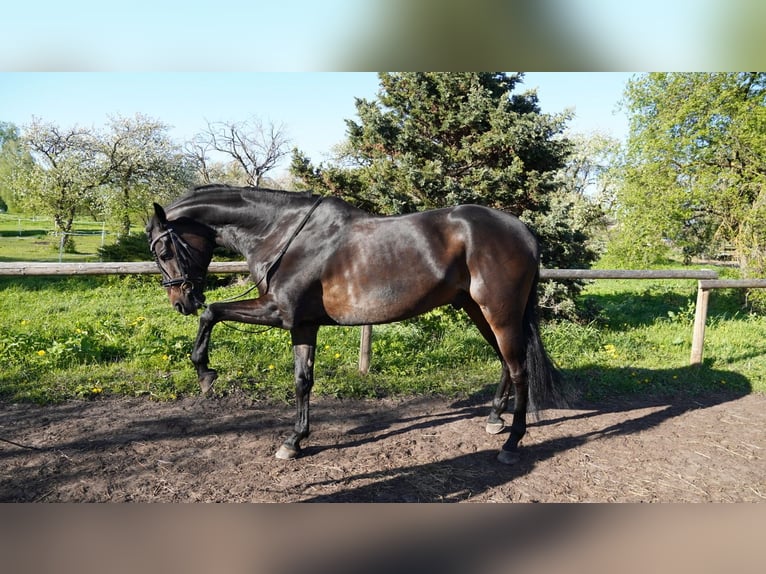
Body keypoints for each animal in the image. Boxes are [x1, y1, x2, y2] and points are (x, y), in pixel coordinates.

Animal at [147, 187, 568, 466]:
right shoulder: (302, 324)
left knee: (518, 369)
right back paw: (494, 420)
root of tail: (523, 231)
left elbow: (213, 313)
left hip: (499, 311)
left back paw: (512, 443)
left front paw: (205, 371)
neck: (283, 233)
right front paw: (295, 440)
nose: (181, 301)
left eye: (164, 250)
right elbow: (302, 380)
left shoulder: (278, 312)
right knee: (505, 362)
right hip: (477, 309)